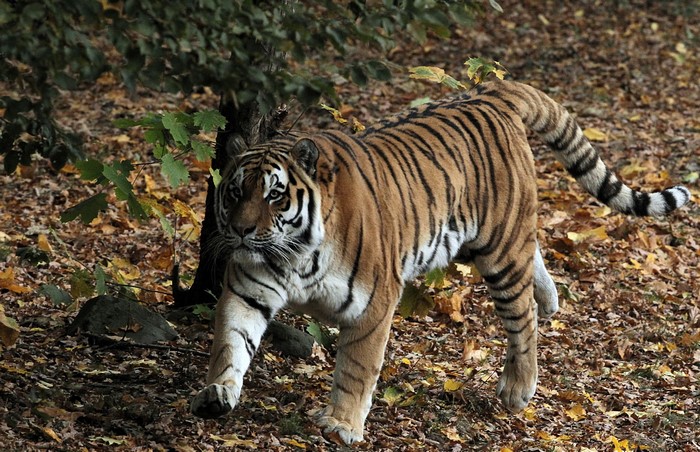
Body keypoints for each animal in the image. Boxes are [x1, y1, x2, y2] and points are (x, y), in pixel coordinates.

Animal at [188, 79, 691, 444]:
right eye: (235, 192)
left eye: (275, 195)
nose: (241, 231)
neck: (296, 255)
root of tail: (492, 93)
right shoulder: (249, 287)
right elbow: (230, 343)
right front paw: (216, 393)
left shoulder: (374, 303)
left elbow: (356, 368)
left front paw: (342, 425)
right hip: (472, 241)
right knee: (534, 261)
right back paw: (550, 302)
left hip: (498, 249)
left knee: (522, 314)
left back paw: (518, 387)